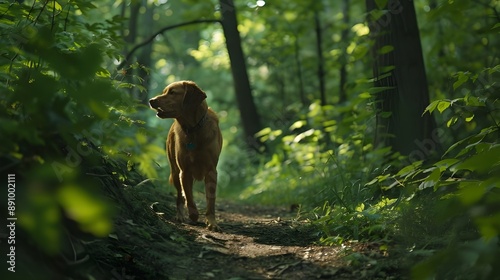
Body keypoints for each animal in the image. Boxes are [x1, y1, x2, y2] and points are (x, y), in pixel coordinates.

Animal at [148, 80, 223, 231]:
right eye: (165, 91)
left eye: (172, 92)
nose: (151, 100)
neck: (193, 130)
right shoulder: (185, 171)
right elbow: (188, 197)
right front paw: (193, 215)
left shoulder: (211, 171)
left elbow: (211, 199)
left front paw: (212, 222)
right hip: (175, 171)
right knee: (179, 196)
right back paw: (180, 215)